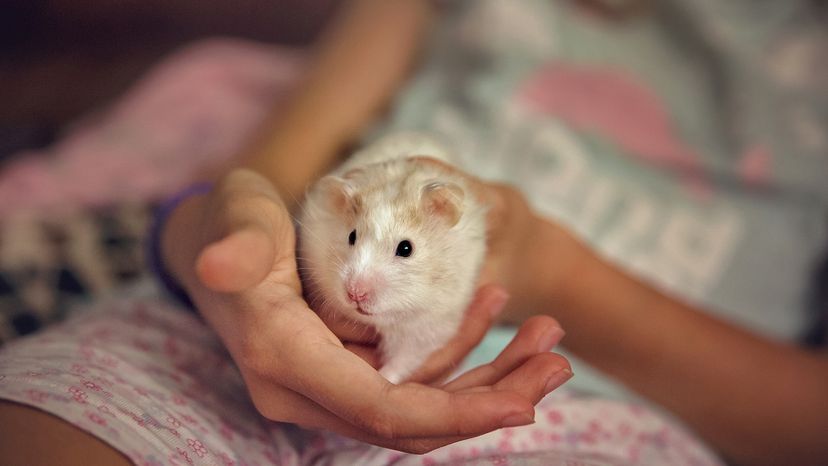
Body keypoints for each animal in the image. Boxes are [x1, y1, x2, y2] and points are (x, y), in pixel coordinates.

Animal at [298, 131, 488, 382]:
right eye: (351, 236)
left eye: (406, 248)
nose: (355, 293)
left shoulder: (429, 327)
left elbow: (402, 362)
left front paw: (384, 377)